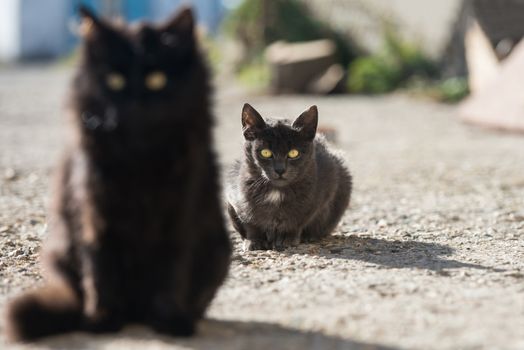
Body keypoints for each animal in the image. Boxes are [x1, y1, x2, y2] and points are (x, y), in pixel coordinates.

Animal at [4, 4, 229, 342]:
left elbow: (172, 269)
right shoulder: (94, 211)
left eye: (156, 79)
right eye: (115, 80)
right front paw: (102, 319)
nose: (134, 101)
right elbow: (100, 267)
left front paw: (170, 320)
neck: (140, 155)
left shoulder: (181, 213)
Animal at [225, 102, 352, 250]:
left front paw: (288, 238)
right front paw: (254, 240)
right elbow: (250, 221)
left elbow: (299, 218)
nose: (280, 169)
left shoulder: (322, 191)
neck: (276, 192)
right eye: (265, 152)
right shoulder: (235, 195)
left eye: (293, 153)